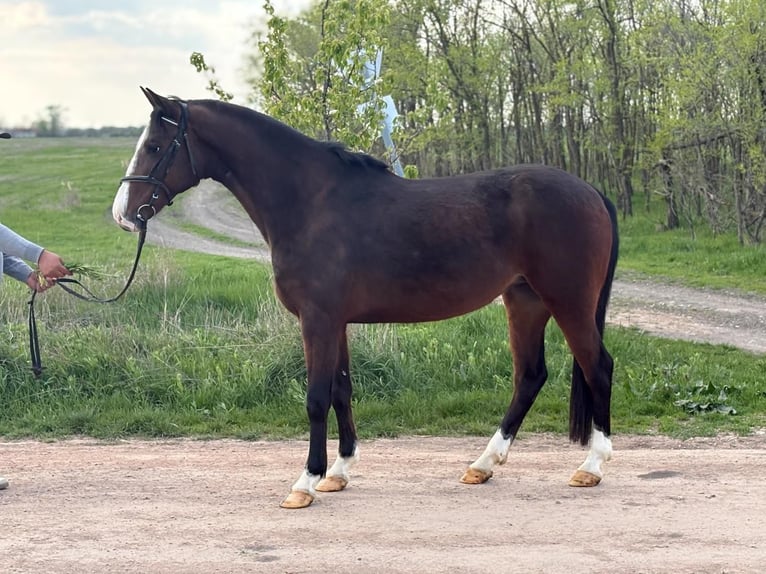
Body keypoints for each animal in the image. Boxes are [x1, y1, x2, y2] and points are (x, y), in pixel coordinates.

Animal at [112, 87, 619, 509]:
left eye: (155, 146)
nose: (123, 215)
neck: (311, 203)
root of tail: (591, 191)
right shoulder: (335, 322)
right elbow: (341, 390)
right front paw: (338, 472)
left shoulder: (317, 319)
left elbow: (316, 397)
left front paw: (305, 483)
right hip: (525, 301)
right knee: (530, 376)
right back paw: (483, 465)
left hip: (568, 302)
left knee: (597, 367)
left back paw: (591, 466)